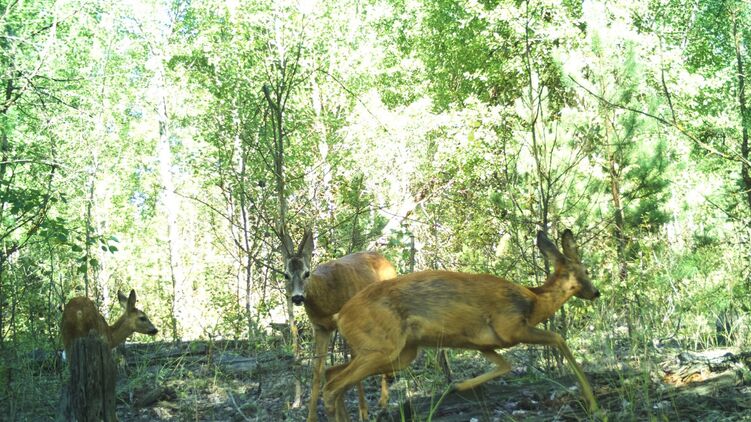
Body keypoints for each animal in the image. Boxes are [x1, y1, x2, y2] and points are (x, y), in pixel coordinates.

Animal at [280, 228, 397, 422]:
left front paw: (363, 414)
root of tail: (386, 259)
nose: (297, 297)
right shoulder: (320, 327)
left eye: (307, 273)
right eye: (286, 275)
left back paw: (383, 402)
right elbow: (317, 370)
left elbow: (354, 360)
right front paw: (312, 417)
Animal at [322, 229, 601, 421]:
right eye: (586, 270)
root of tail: (340, 316)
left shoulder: (483, 343)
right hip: (383, 347)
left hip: (398, 353)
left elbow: (505, 365)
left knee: (331, 373)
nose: (596, 293)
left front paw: (457, 386)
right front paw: (593, 404)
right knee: (332, 386)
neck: (533, 302)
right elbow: (558, 338)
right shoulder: (511, 325)